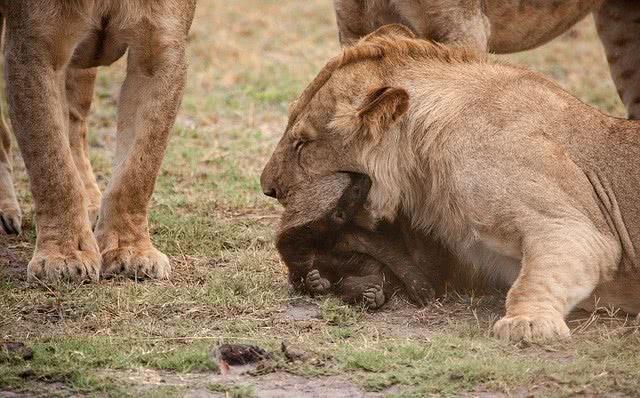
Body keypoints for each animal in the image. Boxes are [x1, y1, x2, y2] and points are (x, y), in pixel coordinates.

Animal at [0, 0, 195, 282]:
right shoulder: (33, 47)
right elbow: (51, 163)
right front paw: (63, 256)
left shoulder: (160, 51)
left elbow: (138, 170)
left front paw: (130, 251)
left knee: (74, 125)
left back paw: (91, 204)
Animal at [278, 172, 438, 308]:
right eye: (356, 190)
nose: (365, 176)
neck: (321, 242)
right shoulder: (298, 258)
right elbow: (299, 279)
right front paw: (315, 283)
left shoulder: (347, 234)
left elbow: (387, 251)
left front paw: (419, 285)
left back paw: (374, 294)